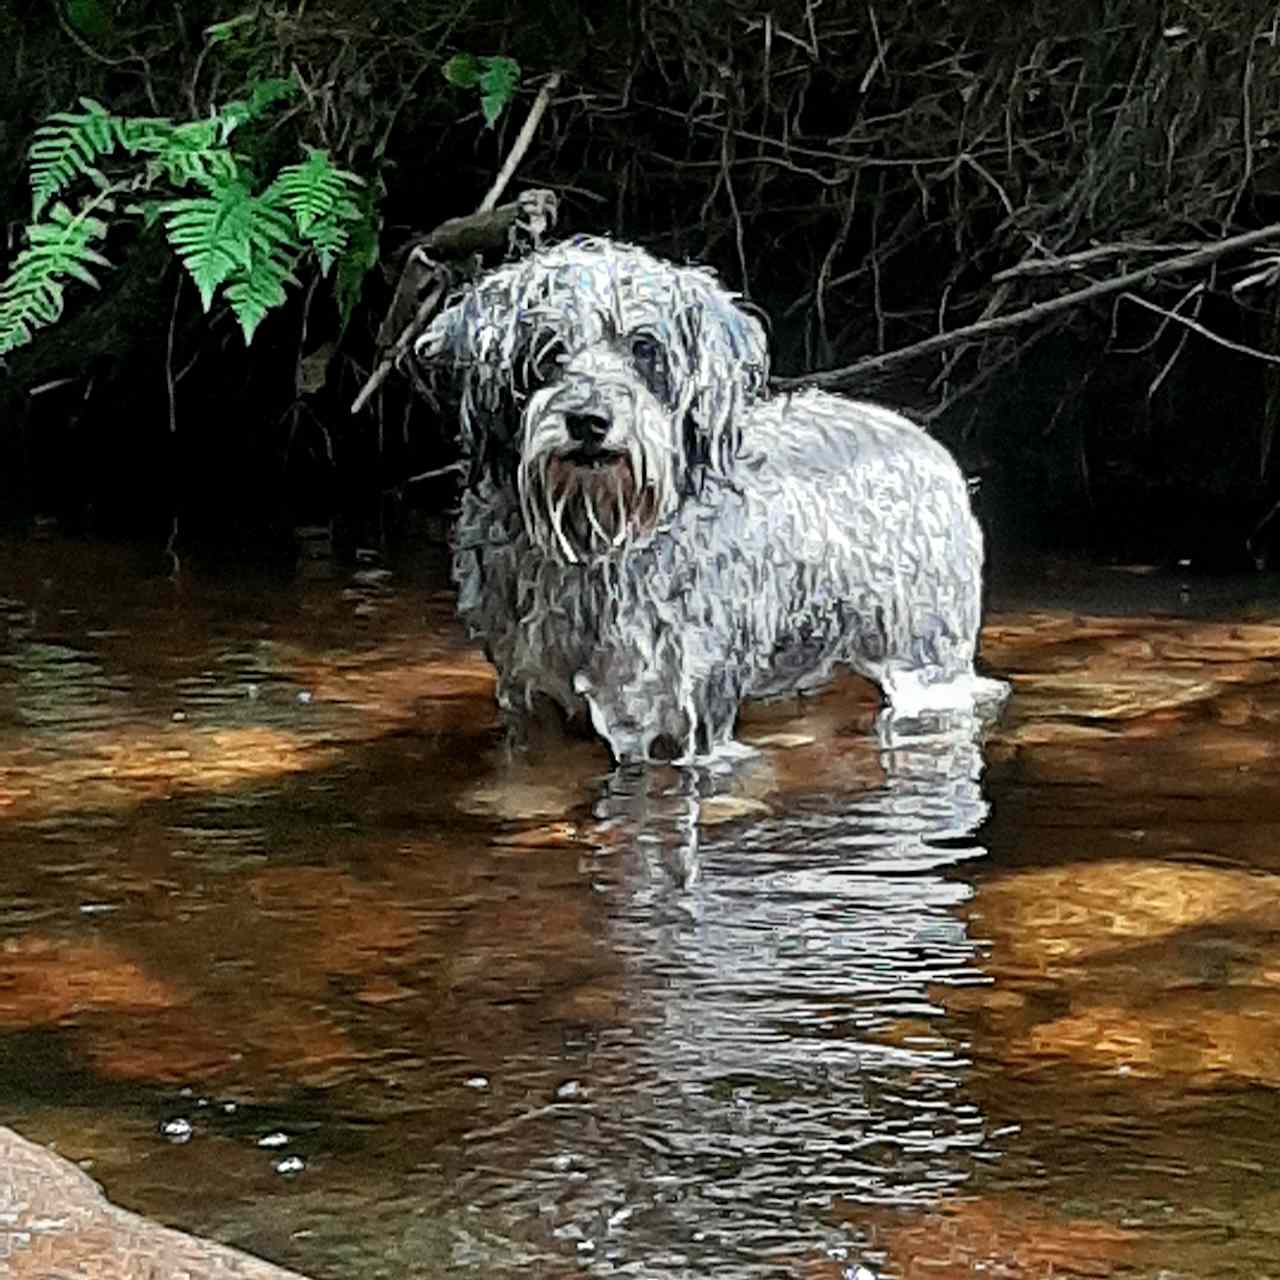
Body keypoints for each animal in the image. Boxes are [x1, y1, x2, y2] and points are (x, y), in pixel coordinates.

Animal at [414, 236, 993, 762]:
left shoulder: (670, 712)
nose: (590, 421)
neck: (593, 537)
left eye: (644, 349)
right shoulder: (533, 702)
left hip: (925, 662)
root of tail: (924, 441)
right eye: (547, 349)